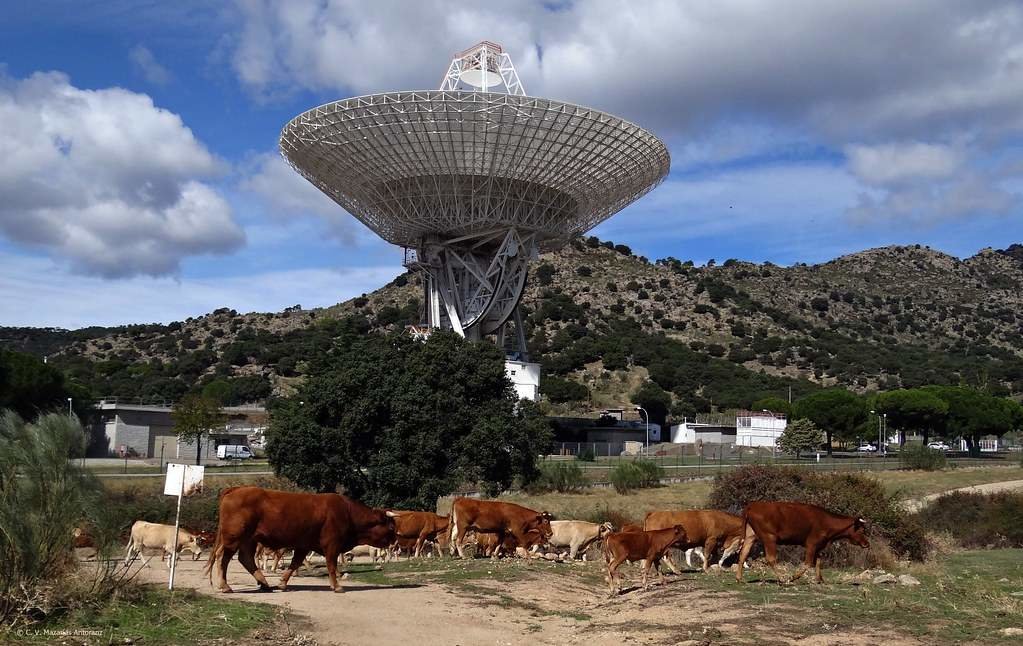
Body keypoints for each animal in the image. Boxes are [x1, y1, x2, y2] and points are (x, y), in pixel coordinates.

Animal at [203, 487, 394, 593]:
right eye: (391, 527)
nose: (393, 540)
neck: (347, 512)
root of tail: (237, 489)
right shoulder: (331, 545)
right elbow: (331, 566)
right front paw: (337, 586)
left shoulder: (304, 545)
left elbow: (295, 563)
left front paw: (282, 583)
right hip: (233, 538)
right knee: (223, 558)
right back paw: (225, 586)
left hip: (248, 540)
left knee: (245, 558)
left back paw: (264, 583)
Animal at [736, 499, 871, 585]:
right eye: (862, 530)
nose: (867, 543)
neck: (826, 521)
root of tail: (753, 505)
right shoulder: (812, 544)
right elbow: (808, 563)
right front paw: (792, 577)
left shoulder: (819, 546)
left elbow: (818, 562)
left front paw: (820, 579)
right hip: (769, 538)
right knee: (771, 559)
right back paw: (783, 579)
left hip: (751, 536)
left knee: (743, 554)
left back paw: (739, 578)